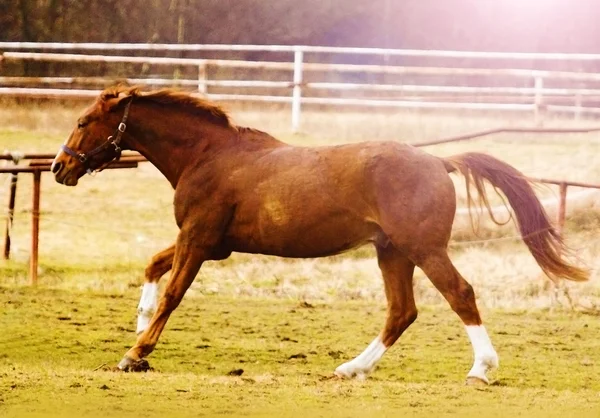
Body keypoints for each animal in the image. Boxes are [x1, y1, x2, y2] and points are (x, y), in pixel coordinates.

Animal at [51, 86, 584, 384]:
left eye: (82, 121)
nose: (59, 168)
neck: (207, 155)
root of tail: (438, 161)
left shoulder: (198, 242)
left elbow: (173, 293)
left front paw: (135, 354)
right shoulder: (210, 245)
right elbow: (153, 270)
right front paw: (138, 331)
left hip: (423, 249)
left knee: (460, 294)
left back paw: (480, 371)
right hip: (392, 253)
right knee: (401, 312)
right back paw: (352, 369)